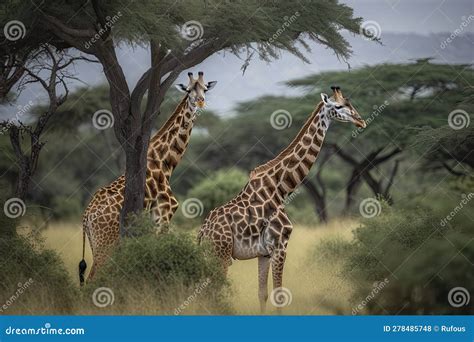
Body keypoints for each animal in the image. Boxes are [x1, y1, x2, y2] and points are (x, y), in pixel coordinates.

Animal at [79, 71, 217, 284]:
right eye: (188, 90)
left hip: (97, 244)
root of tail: (87, 216)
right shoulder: (164, 212)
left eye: (205, 89)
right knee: (94, 277)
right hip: (106, 244)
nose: (200, 102)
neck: (166, 161)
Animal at [197, 87, 366, 312]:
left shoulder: (264, 253)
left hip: (210, 256)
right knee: (213, 294)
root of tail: (202, 232)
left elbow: (263, 294)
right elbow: (279, 294)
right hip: (221, 255)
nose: (361, 121)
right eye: (338, 106)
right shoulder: (280, 245)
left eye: (350, 103)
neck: (280, 188)